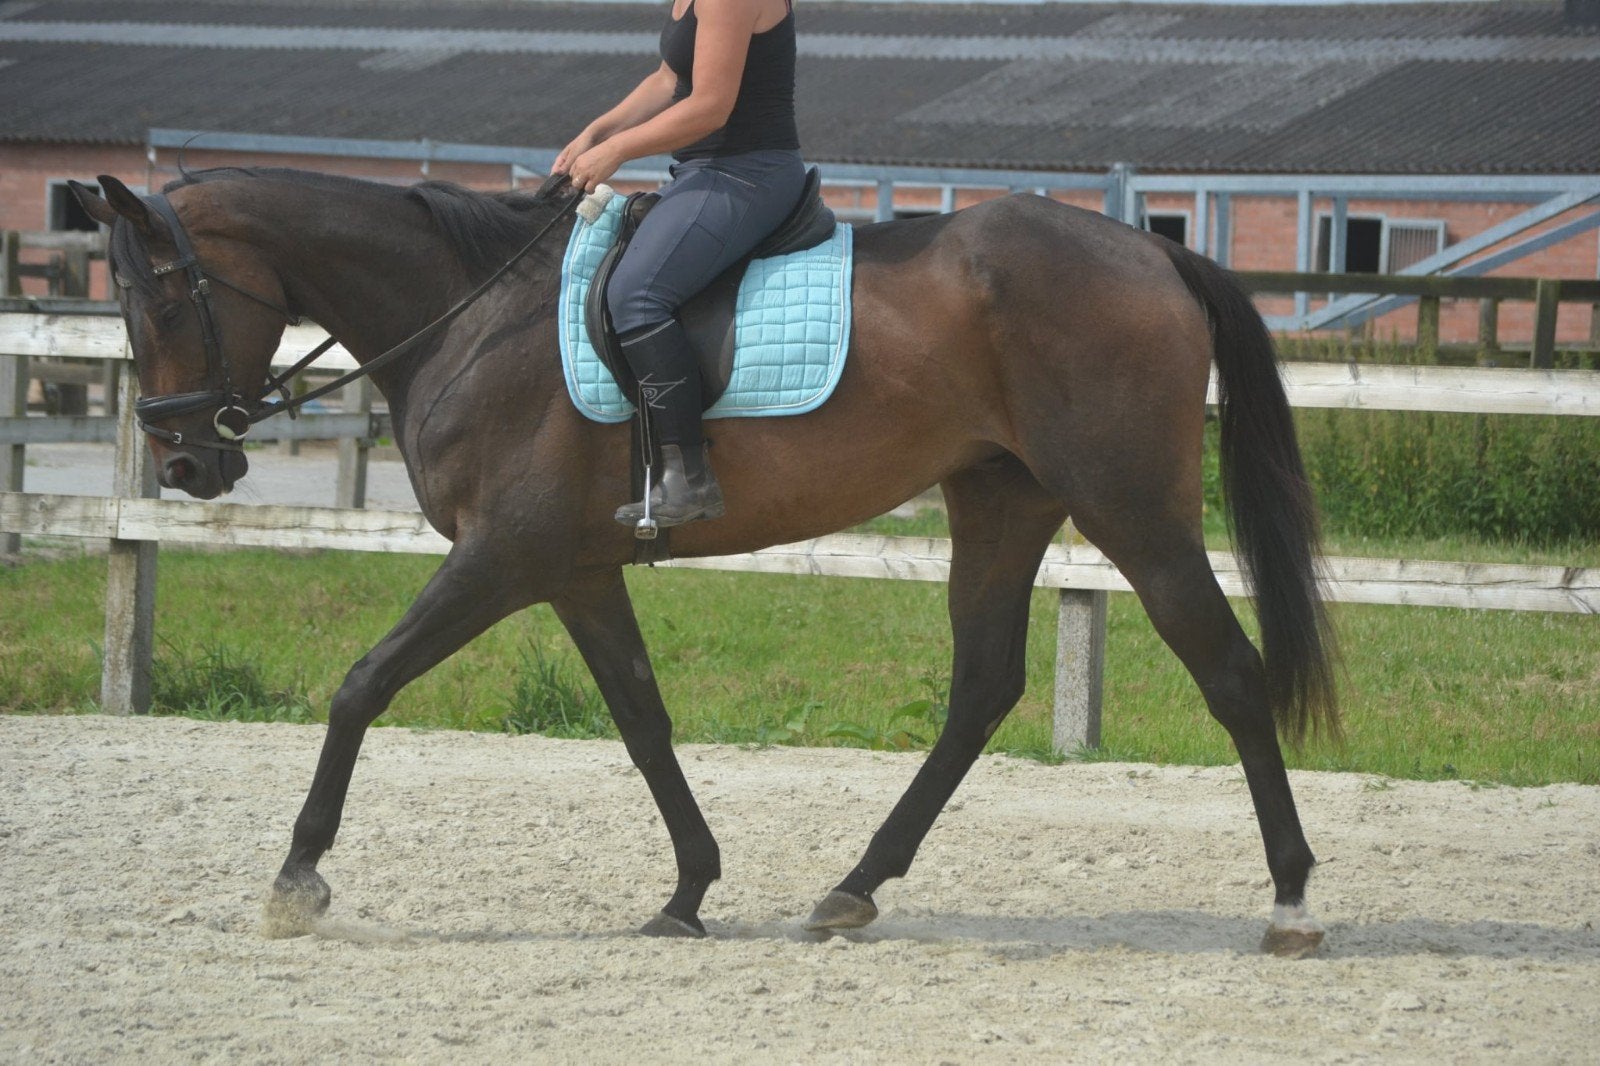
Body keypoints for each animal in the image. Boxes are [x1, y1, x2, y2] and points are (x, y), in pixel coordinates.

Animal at [71, 167, 1337, 957]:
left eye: (159, 296)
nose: (182, 461)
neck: (469, 320)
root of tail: (1157, 256)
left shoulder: (503, 555)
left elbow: (361, 684)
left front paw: (296, 879)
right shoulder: (576, 571)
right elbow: (641, 718)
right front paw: (687, 888)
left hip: (1129, 509)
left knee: (1227, 669)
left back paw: (1287, 900)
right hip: (1000, 502)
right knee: (983, 686)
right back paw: (851, 887)